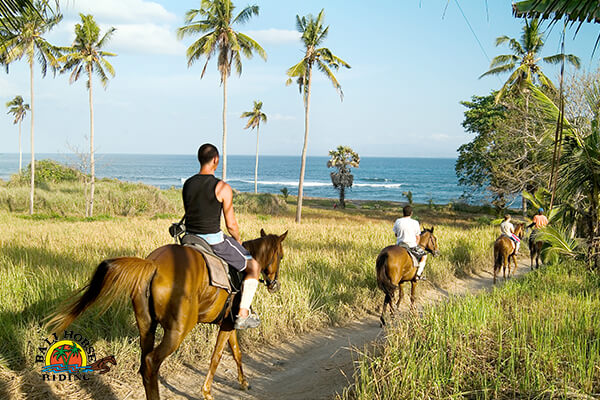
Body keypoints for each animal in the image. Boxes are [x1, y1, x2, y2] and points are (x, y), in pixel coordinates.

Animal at [47, 228, 286, 400]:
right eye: (281, 256)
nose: (274, 284)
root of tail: (153, 264)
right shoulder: (228, 324)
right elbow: (217, 356)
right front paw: (207, 392)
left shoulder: (228, 323)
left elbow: (236, 352)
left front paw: (243, 382)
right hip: (178, 331)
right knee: (151, 362)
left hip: (146, 326)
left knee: (145, 364)